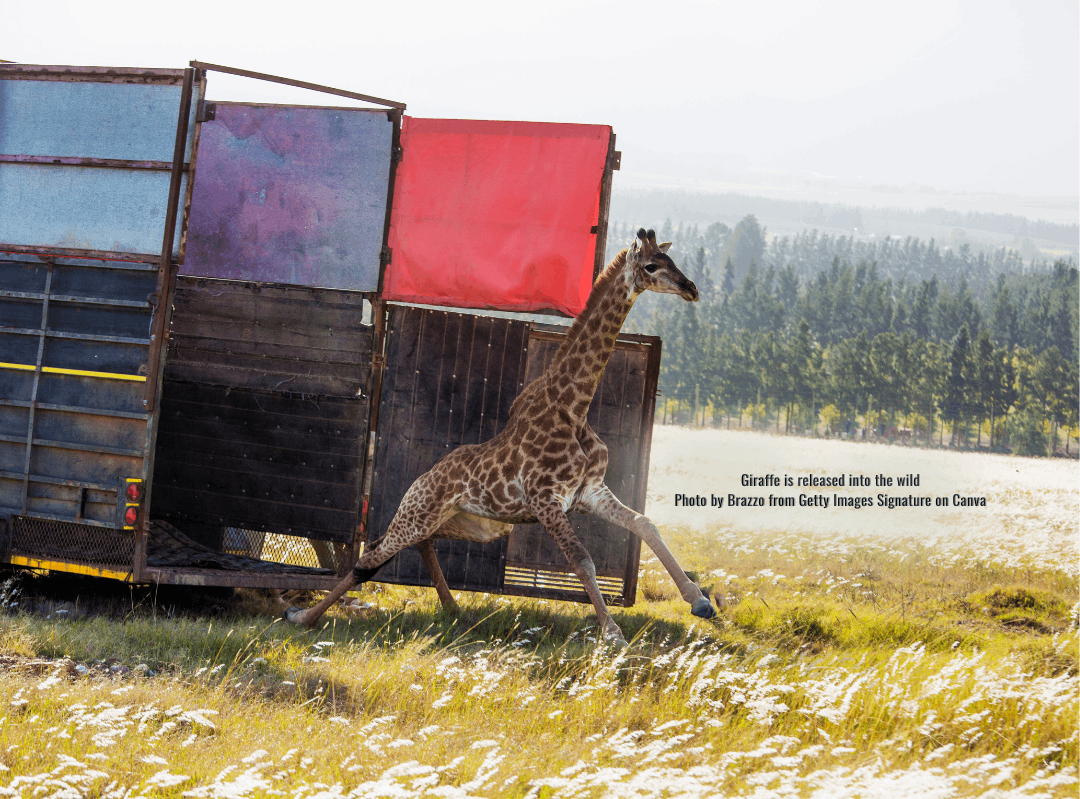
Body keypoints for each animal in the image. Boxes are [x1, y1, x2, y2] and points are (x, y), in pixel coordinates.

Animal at [285, 228, 716, 643]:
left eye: (671, 260)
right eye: (650, 266)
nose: (692, 288)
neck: (573, 406)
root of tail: (422, 479)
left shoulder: (589, 492)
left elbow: (645, 524)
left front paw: (700, 601)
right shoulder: (546, 499)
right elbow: (582, 560)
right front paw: (612, 634)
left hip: (474, 523)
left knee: (415, 545)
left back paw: (454, 611)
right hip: (418, 514)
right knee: (368, 559)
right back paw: (302, 616)